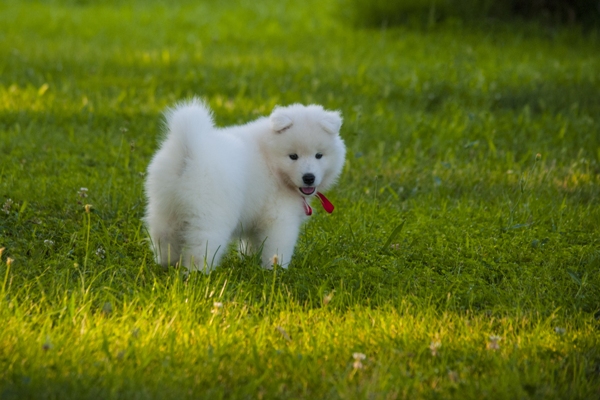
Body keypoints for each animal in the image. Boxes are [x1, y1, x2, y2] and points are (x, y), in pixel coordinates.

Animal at [142, 98, 344, 272]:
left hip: (165, 207)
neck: (270, 160)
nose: (309, 177)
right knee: (201, 245)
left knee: (164, 236)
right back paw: (198, 274)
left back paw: (167, 264)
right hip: (210, 214)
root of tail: (189, 151)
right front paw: (277, 270)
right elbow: (278, 245)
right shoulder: (280, 217)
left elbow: (253, 242)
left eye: (319, 155)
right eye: (293, 156)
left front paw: (250, 260)